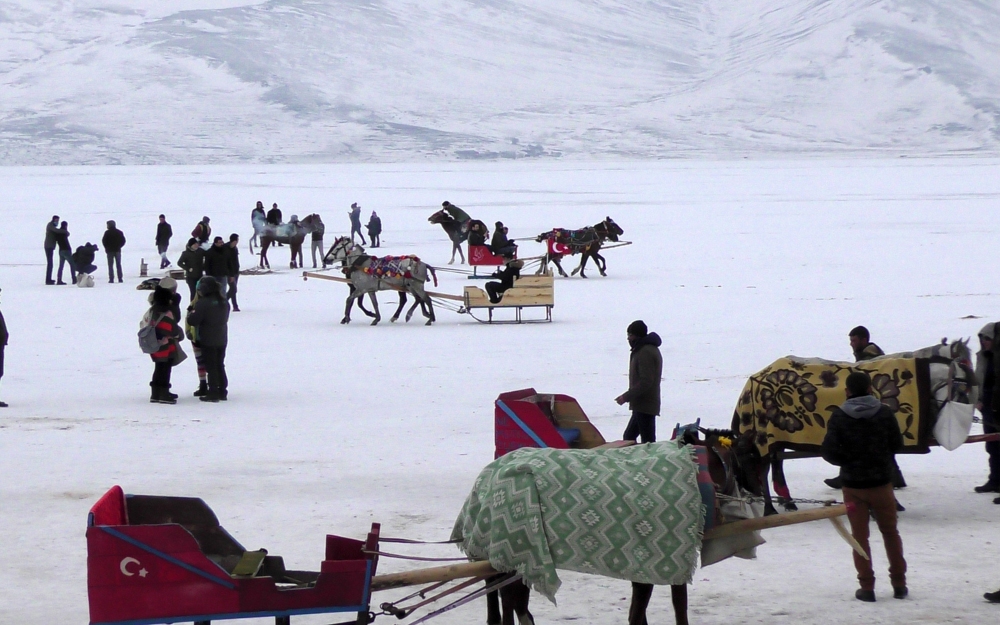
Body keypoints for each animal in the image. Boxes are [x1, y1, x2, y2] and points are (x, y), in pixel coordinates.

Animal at [484, 426, 764, 624]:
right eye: (753, 455)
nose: (761, 493)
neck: (698, 467)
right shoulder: (665, 560)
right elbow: (666, 609)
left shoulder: (644, 568)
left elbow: (642, 612)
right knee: (511, 600)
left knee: (506, 597)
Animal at [732, 338, 972, 516]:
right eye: (963, 368)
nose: (969, 399)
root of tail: (756, 377)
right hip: (765, 435)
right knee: (764, 468)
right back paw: (770, 508)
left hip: (776, 436)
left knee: (776, 465)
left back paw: (787, 501)